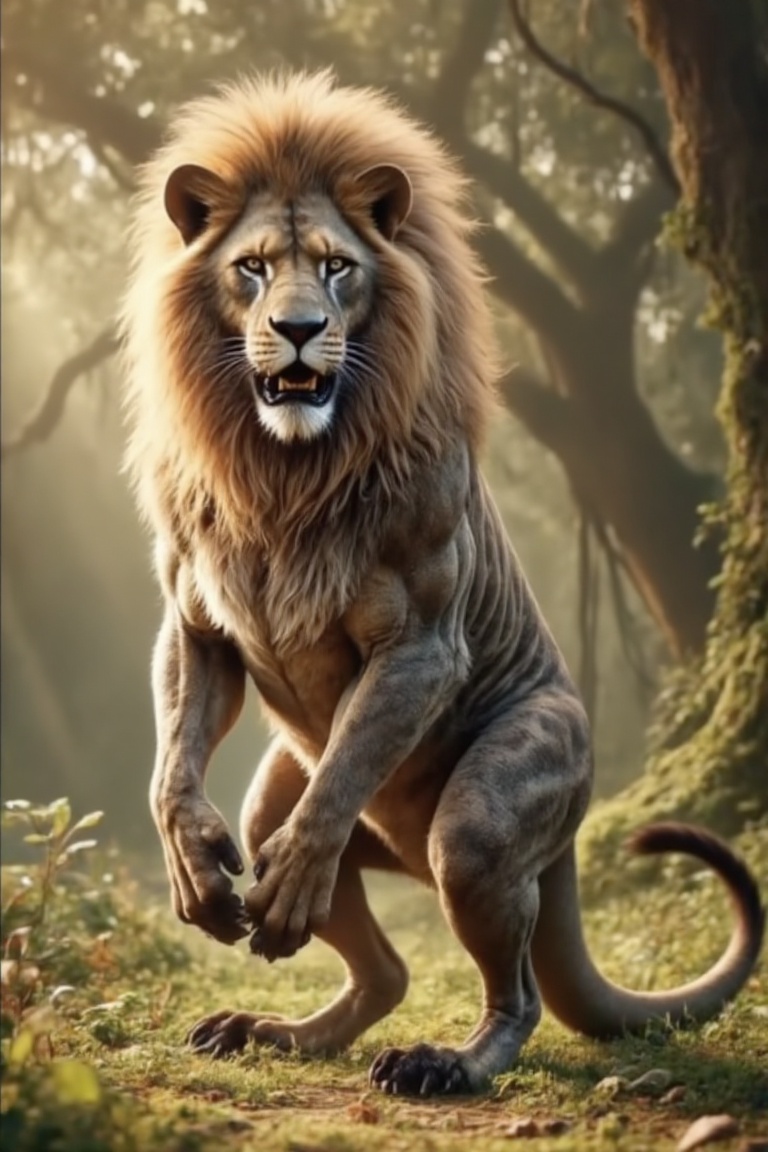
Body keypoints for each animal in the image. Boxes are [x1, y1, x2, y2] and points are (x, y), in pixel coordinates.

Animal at [122, 71, 764, 1096]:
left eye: (337, 269)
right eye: (252, 268)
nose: (298, 331)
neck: (286, 473)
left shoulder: (423, 639)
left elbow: (339, 784)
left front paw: (290, 879)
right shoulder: (196, 623)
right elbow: (177, 767)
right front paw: (196, 868)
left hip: (483, 823)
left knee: (518, 991)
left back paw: (446, 1063)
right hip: (277, 795)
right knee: (382, 966)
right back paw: (269, 1030)